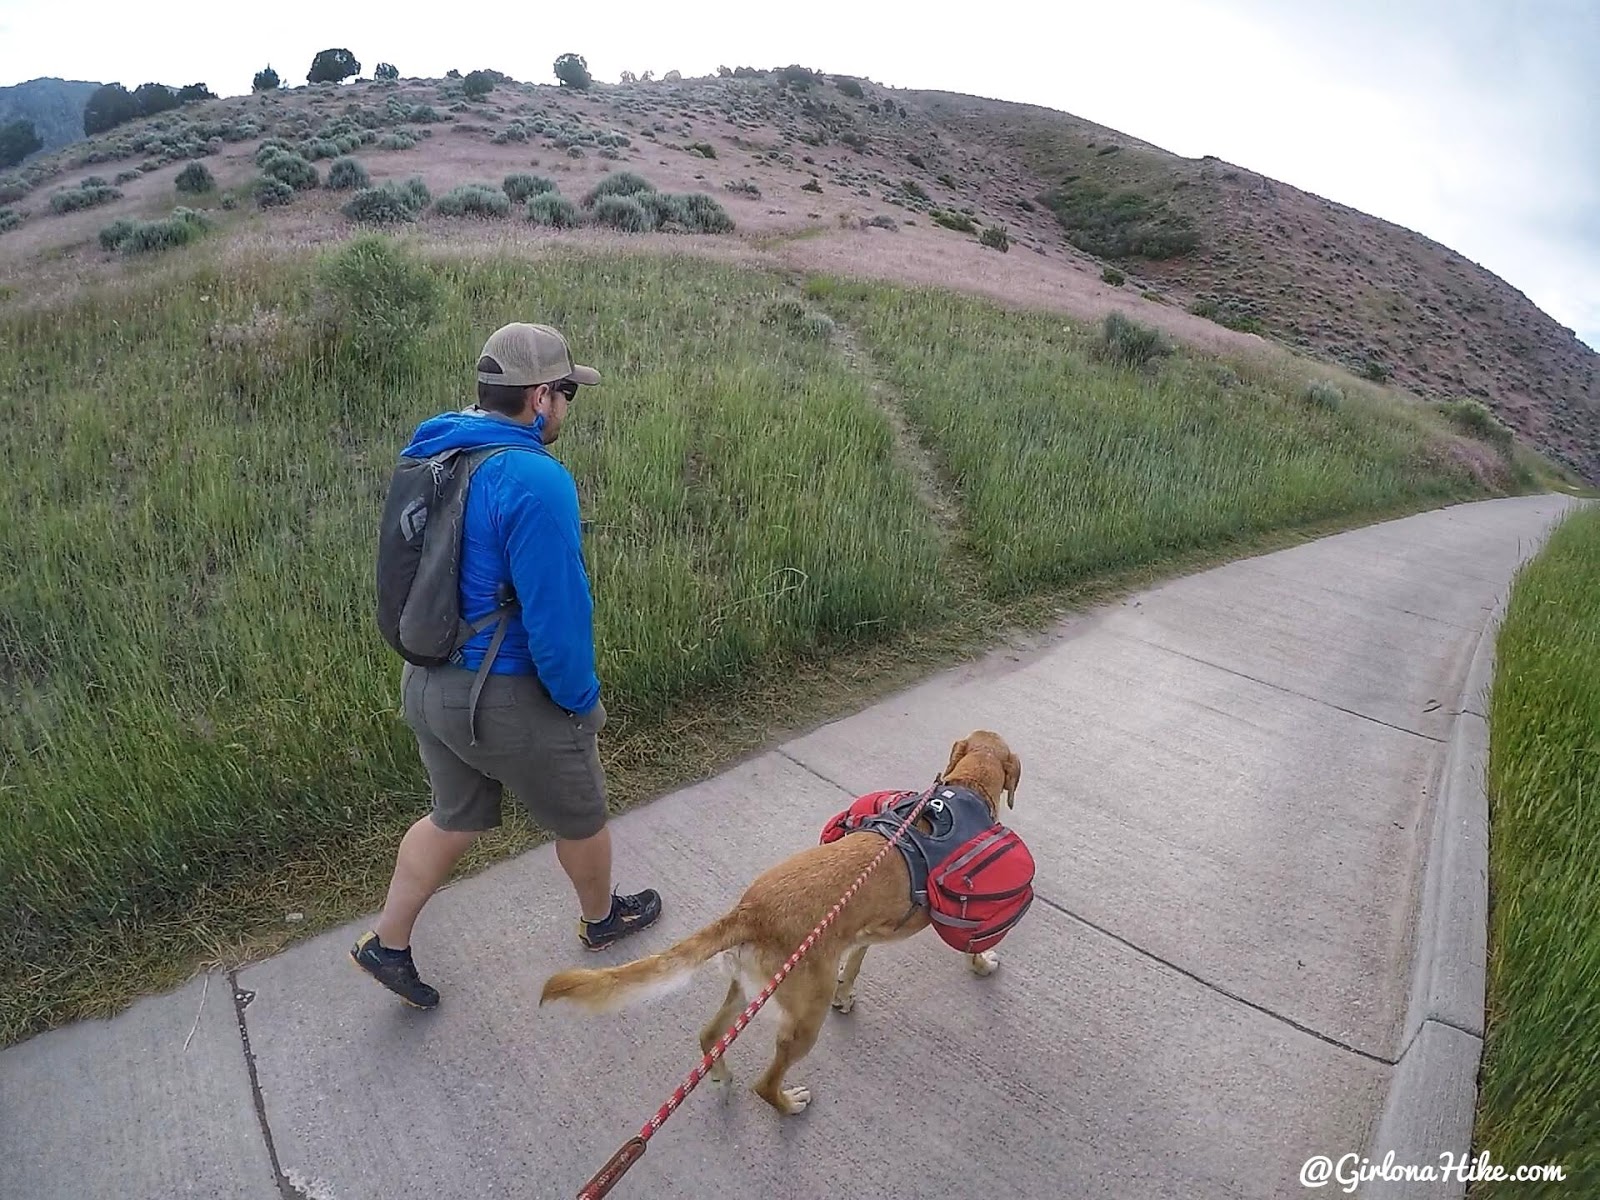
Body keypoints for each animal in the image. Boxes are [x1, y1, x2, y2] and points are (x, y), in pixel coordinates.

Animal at [534, 732, 1011, 1120]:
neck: (966, 787)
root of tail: (750, 911)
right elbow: (974, 945)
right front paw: (983, 964)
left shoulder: (864, 934)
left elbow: (854, 965)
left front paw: (846, 994)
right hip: (803, 1017)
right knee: (764, 1083)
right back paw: (787, 1104)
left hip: (748, 987)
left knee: (709, 1035)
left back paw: (721, 1076)